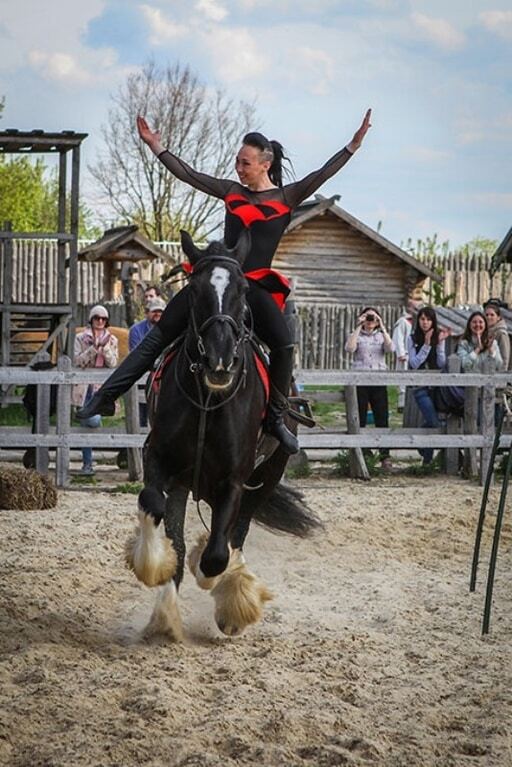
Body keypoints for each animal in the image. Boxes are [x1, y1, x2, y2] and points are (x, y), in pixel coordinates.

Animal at [125, 231, 320, 640]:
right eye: (195, 288)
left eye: (244, 289)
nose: (220, 361)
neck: (207, 401)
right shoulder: (160, 461)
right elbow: (155, 509)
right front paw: (155, 572)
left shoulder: (234, 480)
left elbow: (216, 554)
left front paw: (217, 581)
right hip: (187, 482)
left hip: (265, 478)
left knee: (236, 534)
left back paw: (234, 601)